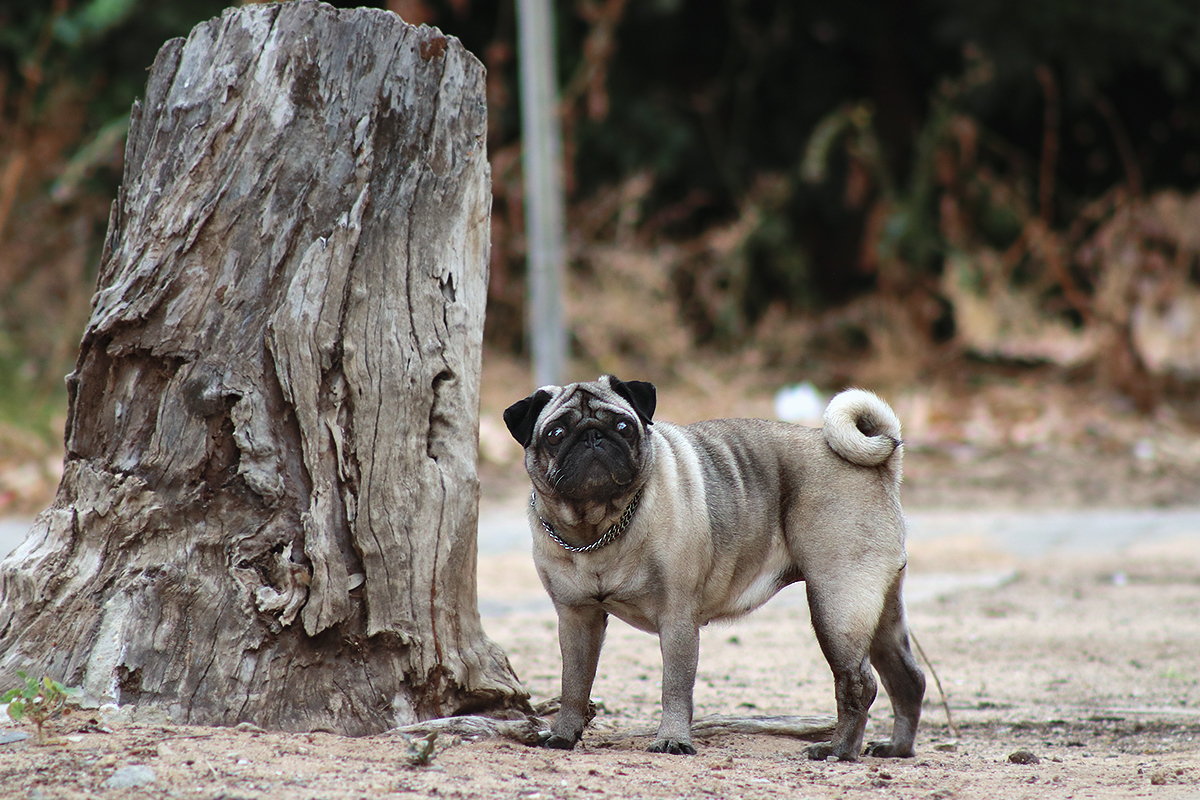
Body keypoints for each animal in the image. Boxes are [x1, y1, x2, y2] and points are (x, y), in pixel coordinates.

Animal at [501, 376, 921, 762]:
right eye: (555, 434)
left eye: (623, 426)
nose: (592, 437)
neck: (598, 528)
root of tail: (884, 466)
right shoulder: (576, 618)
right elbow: (574, 684)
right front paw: (563, 734)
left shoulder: (677, 620)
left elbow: (674, 686)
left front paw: (672, 739)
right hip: (876, 609)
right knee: (907, 679)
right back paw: (897, 748)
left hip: (837, 605)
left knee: (858, 684)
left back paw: (839, 750)